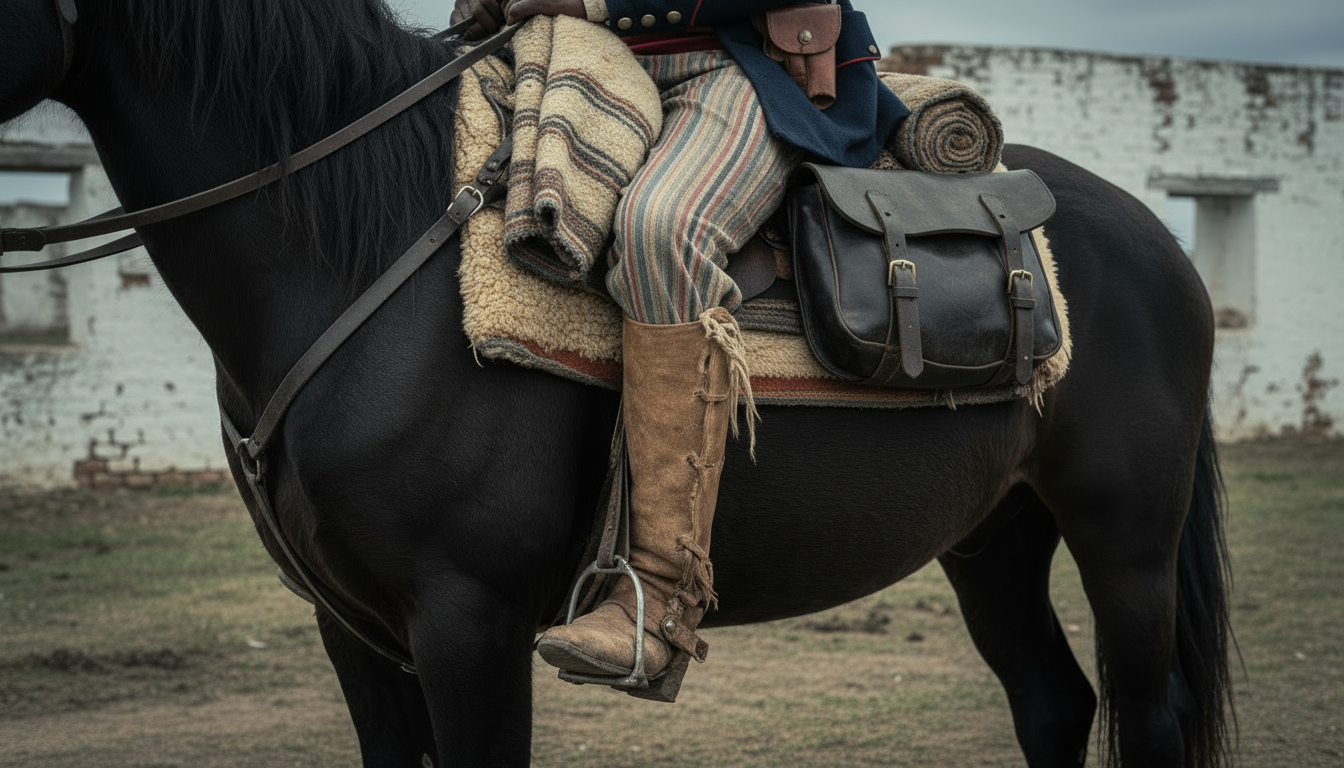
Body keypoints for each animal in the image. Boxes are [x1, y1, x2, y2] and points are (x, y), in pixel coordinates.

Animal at [0, 0, 1233, 765]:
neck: (361, 254)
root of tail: (1155, 243)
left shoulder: (469, 622)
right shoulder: (353, 633)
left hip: (1125, 542)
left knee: (1147, 719)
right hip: (994, 538)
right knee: (1053, 705)